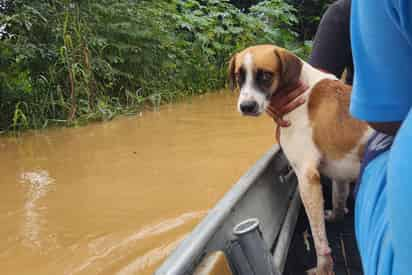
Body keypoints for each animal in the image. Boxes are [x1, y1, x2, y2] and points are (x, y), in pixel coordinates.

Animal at [230, 44, 372, 274]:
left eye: (266, 76)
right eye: (238, 76)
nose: (246, 106)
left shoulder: (306, 177)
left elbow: (319, 239)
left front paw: (323, 268)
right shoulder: (339, 171)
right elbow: (338, 199)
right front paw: (336, 216)